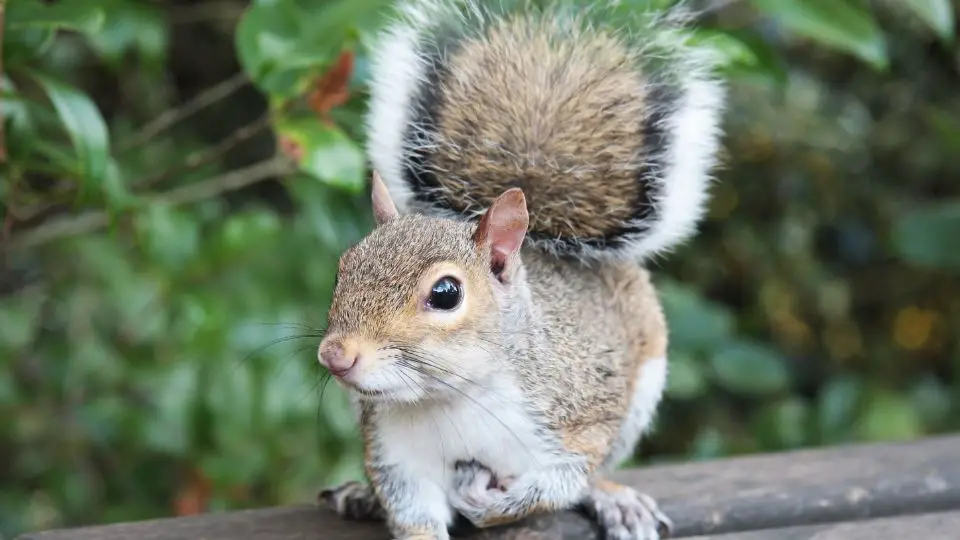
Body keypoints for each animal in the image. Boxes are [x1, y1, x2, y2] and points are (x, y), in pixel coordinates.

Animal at [316, 1, 728, 540]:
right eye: (343, 268)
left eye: (446, 293)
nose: (335, 355)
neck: (450, 399)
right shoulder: (396, 458)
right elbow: (413, 514)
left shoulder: (578, 423)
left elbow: (555, 486)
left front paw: (489, 502)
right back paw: (361, 496)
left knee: (596, 475)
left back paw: (614, 498)